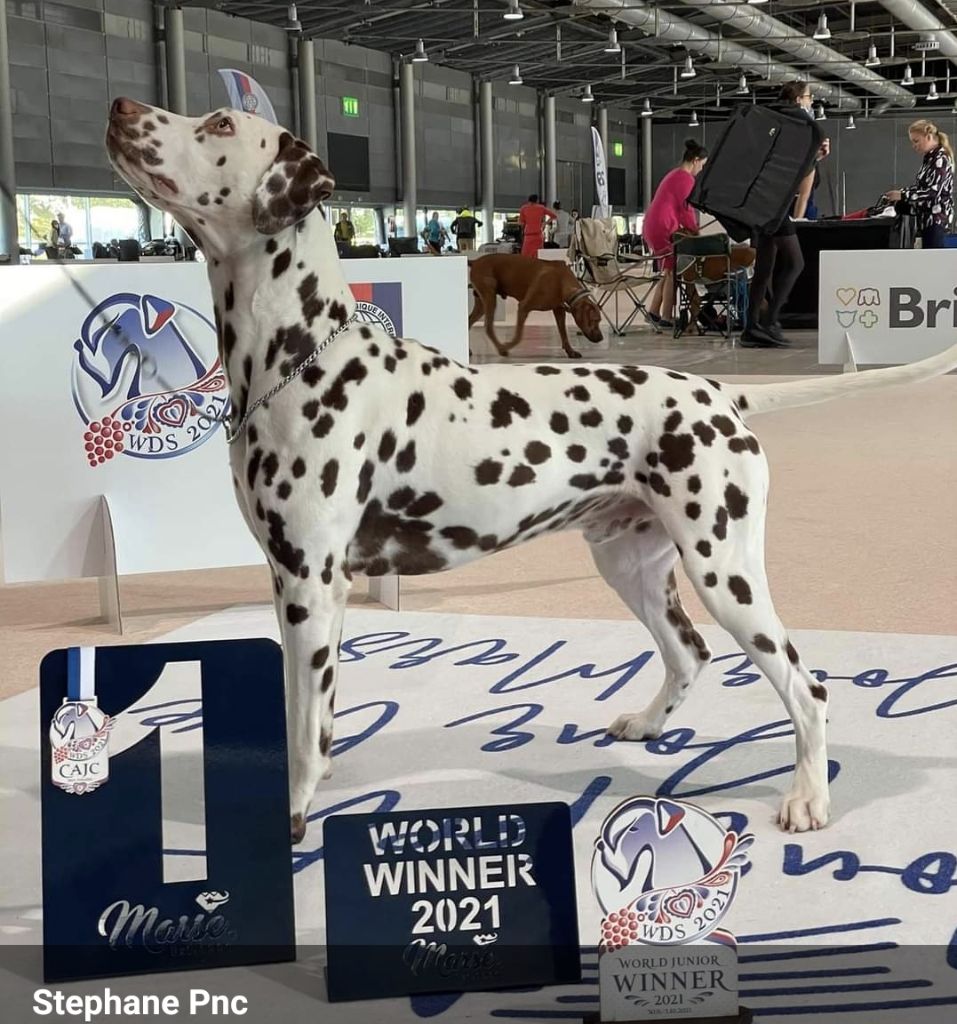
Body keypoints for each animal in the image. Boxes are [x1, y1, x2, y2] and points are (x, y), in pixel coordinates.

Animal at [468, 254, 603, 359]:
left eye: (599, 320)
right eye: (595, 320)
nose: (601, 338)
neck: (561, 281)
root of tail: (475, 261)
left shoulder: (559, 310)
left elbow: (563, 333)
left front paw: (570, 351)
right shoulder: (523, 307)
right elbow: (518, 336)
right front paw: (506, 346)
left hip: (481, 303)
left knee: (469, 321)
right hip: (489, 296)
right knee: (488, 326)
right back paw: (501, 348)